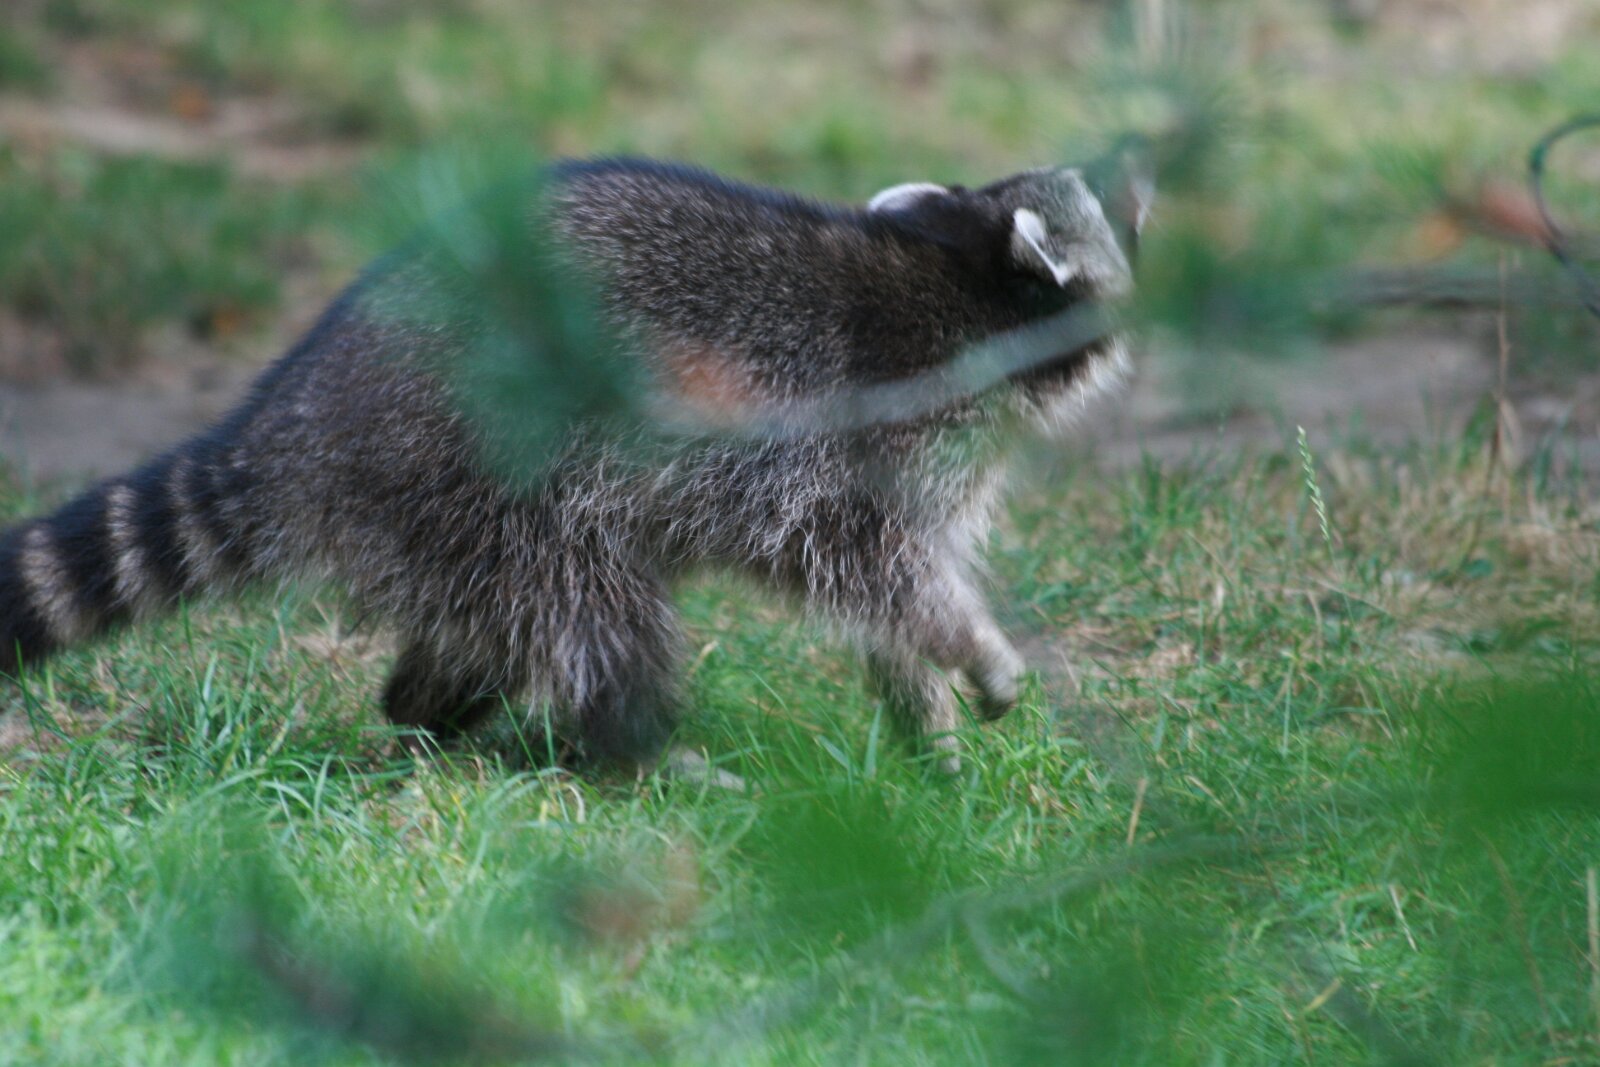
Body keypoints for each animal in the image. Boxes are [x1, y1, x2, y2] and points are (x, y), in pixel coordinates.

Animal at [0, 146, 1150, 774]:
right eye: (1106, 195)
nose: (1145, 158)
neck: (969, 293)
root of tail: (297, 415)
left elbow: (887, 604)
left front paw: (925, 722)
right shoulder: (856, 445)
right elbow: (882, 572)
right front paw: (973, 651)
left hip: (445, 521)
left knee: (500, 628)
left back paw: (427, 710)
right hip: (487, 474)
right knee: (598, 612)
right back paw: (638, 750)